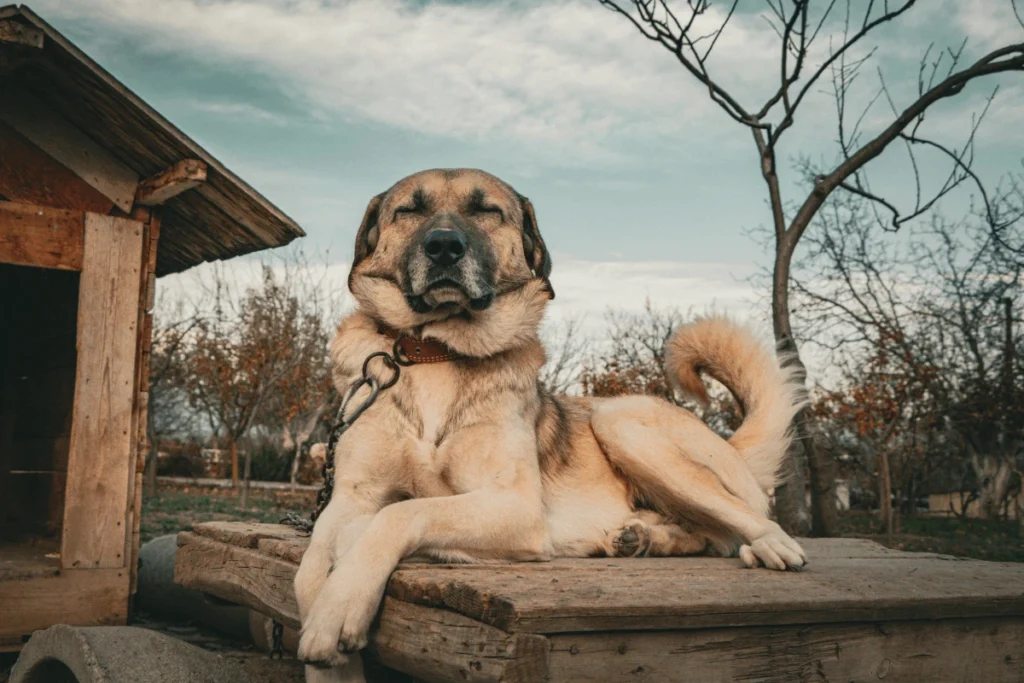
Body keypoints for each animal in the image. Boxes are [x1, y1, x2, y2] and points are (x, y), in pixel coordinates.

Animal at [292, 167, 802, 679]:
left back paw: (766, 546)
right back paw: (641, 537)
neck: (436, 350)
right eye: (410, 210)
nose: (443, 246)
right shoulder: (351, 494)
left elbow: (399, 513)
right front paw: (328, 629)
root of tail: (733, 448)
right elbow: (310, 567)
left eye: (486, 210)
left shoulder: (514, 504)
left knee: (749, 520)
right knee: (702, 532)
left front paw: (341, 601)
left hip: (617, 421)